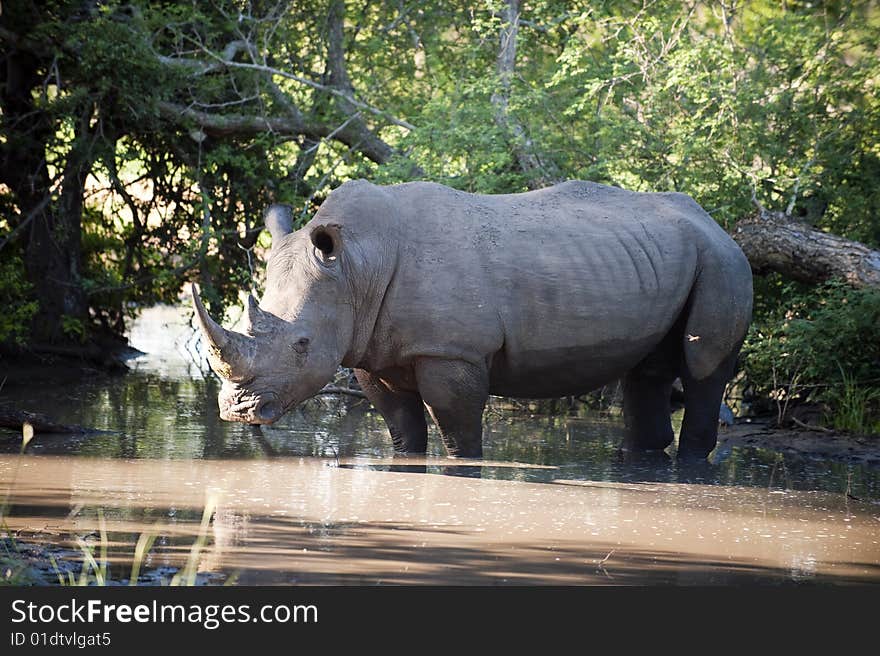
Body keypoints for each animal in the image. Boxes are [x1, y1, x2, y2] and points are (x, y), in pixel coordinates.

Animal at [192, 177, 748, 458]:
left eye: (302, 344)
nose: (237, 411)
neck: (356, 266)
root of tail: (715, 221)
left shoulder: (452, 352)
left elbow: (459, 434)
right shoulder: (371, 352)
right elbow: (402, 431)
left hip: (723, 262)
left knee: (703, 369)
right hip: (665, 257)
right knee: (645, 374)